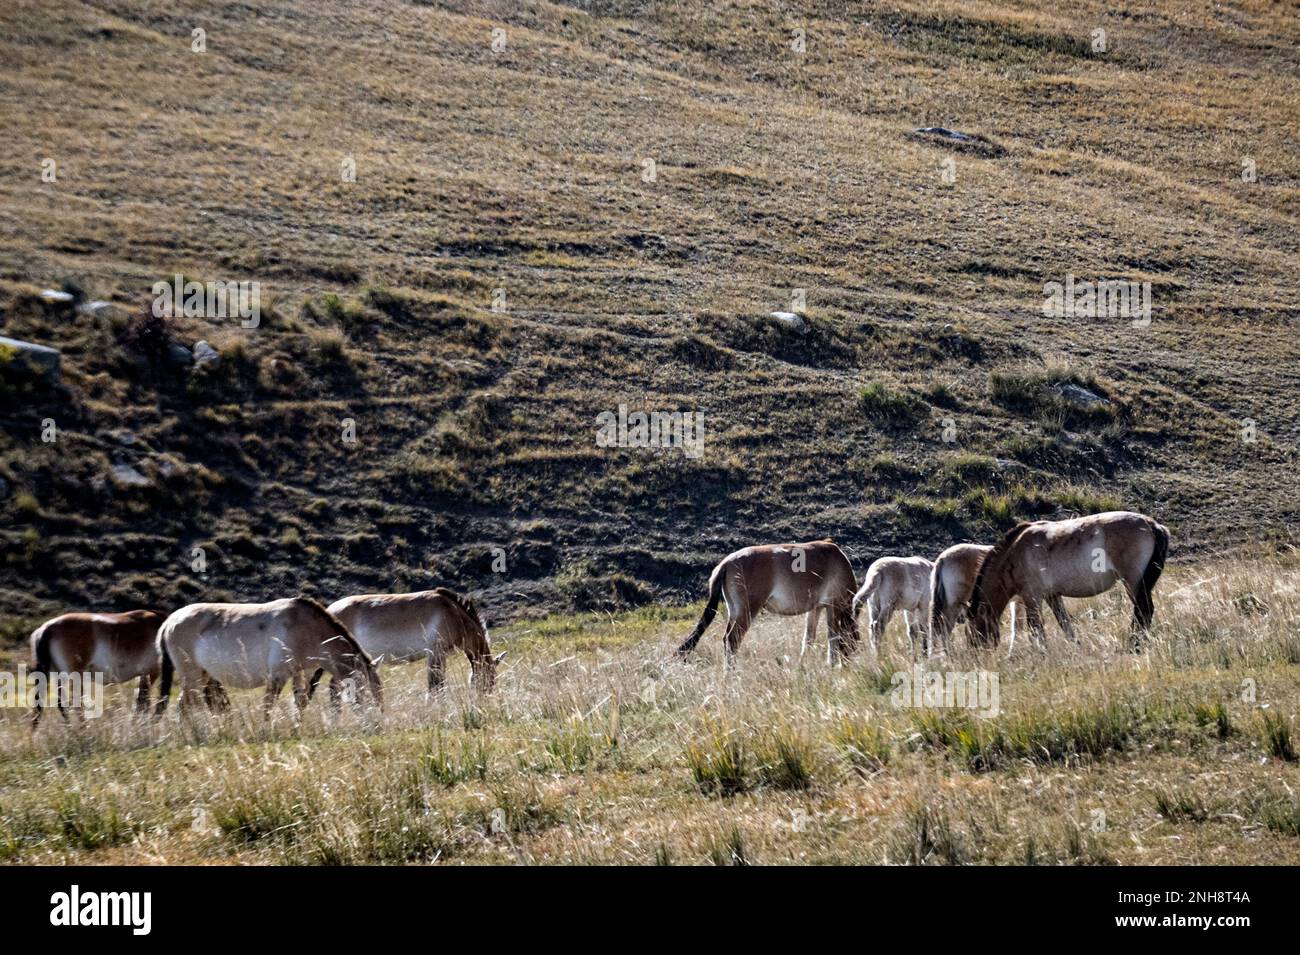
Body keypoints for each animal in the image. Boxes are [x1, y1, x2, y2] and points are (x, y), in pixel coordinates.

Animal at [29, 613, 165, 722]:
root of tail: (46, 629)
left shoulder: (141, 676)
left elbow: (139, 702)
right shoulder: (151, 673)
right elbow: (143, 703)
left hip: (54, 675)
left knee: (54, 704)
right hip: (74, 677)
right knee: (76, 705)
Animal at [327, 582, 504, 696]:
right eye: (488, 681)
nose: (484, 700)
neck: (454, 613)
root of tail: (329, 610)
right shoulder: (435, 653)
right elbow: (436, 686)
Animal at [670, 540, 863, 670]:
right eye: (854, 647)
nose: (848, 665)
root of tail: (726, 563)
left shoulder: (816, 609)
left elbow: (809, 639)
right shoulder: (834, 606)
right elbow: (834, 637)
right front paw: (832, 664)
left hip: (735, 612)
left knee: (727, 639)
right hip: (747, 612)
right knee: (732, 640)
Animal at [967, 511, 1170, 654]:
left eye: (974, 631)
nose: (976, 655)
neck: (1015, 551)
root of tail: (1152, 525)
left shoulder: (1032, 597)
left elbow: (1036, 629)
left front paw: (1041, 653)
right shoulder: (1052, 596)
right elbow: (1064, 624)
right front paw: (1076, 647)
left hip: (1132, 582)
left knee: (1143, 611)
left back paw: (1133, 646)